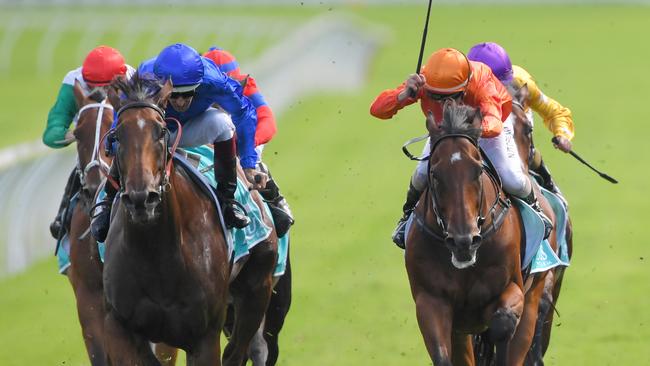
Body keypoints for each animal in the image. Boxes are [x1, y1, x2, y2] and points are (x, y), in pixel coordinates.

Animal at [101, 75, 276, 366]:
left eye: (161, 131)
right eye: (116, 137)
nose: (141, 198)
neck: (155, 255)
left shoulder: (203, 336)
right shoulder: (120, 327)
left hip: (257, 286)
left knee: (237, 351)